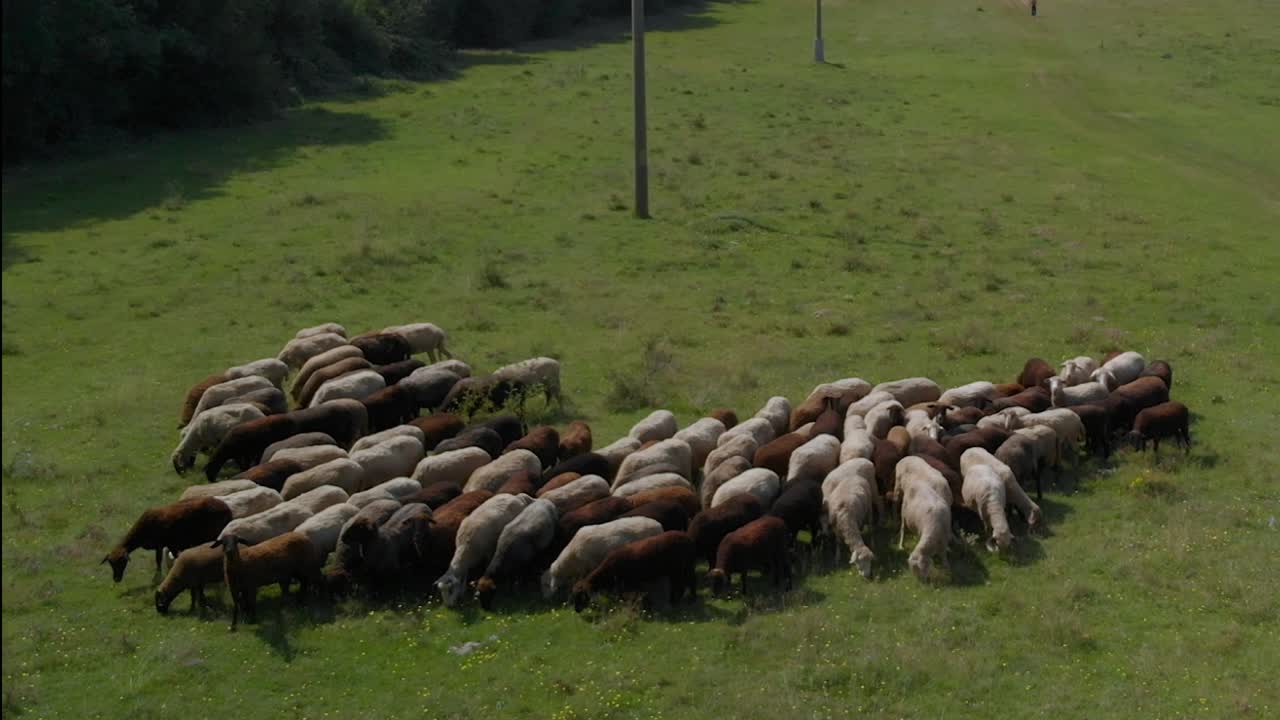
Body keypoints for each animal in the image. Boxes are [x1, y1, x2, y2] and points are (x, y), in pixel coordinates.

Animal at [102, 497, 232, 583]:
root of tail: (227, 508)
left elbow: (164, 559)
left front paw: (158, 578)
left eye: (122, 562)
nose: (116, 579)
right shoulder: (161, 545)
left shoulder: (165, 543)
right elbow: (161, 559)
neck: (142, 531)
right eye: (111, 564)